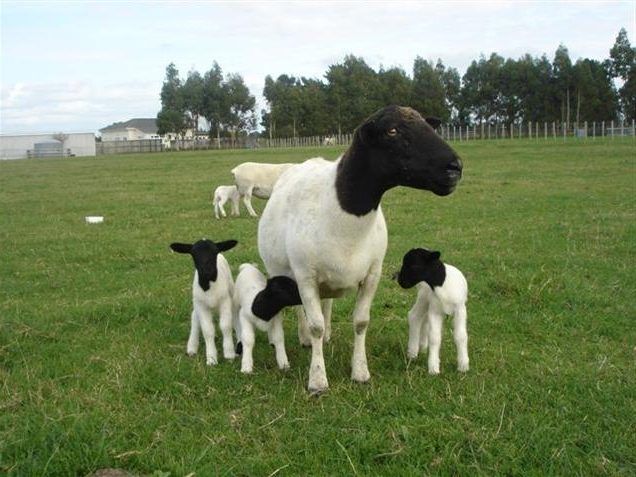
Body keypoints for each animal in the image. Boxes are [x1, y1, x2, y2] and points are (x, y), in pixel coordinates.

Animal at [258, 106, 462, 392]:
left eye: (427, 124)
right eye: (392, 131)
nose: (455, 167)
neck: (344, 215)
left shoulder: (372, 275)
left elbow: (361, 322)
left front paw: (360, 371)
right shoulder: (306, 275)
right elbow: (315, 325)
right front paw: (317, 379)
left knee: (327, 303)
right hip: (286, 273)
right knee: (299, 308)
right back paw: (306, 338)